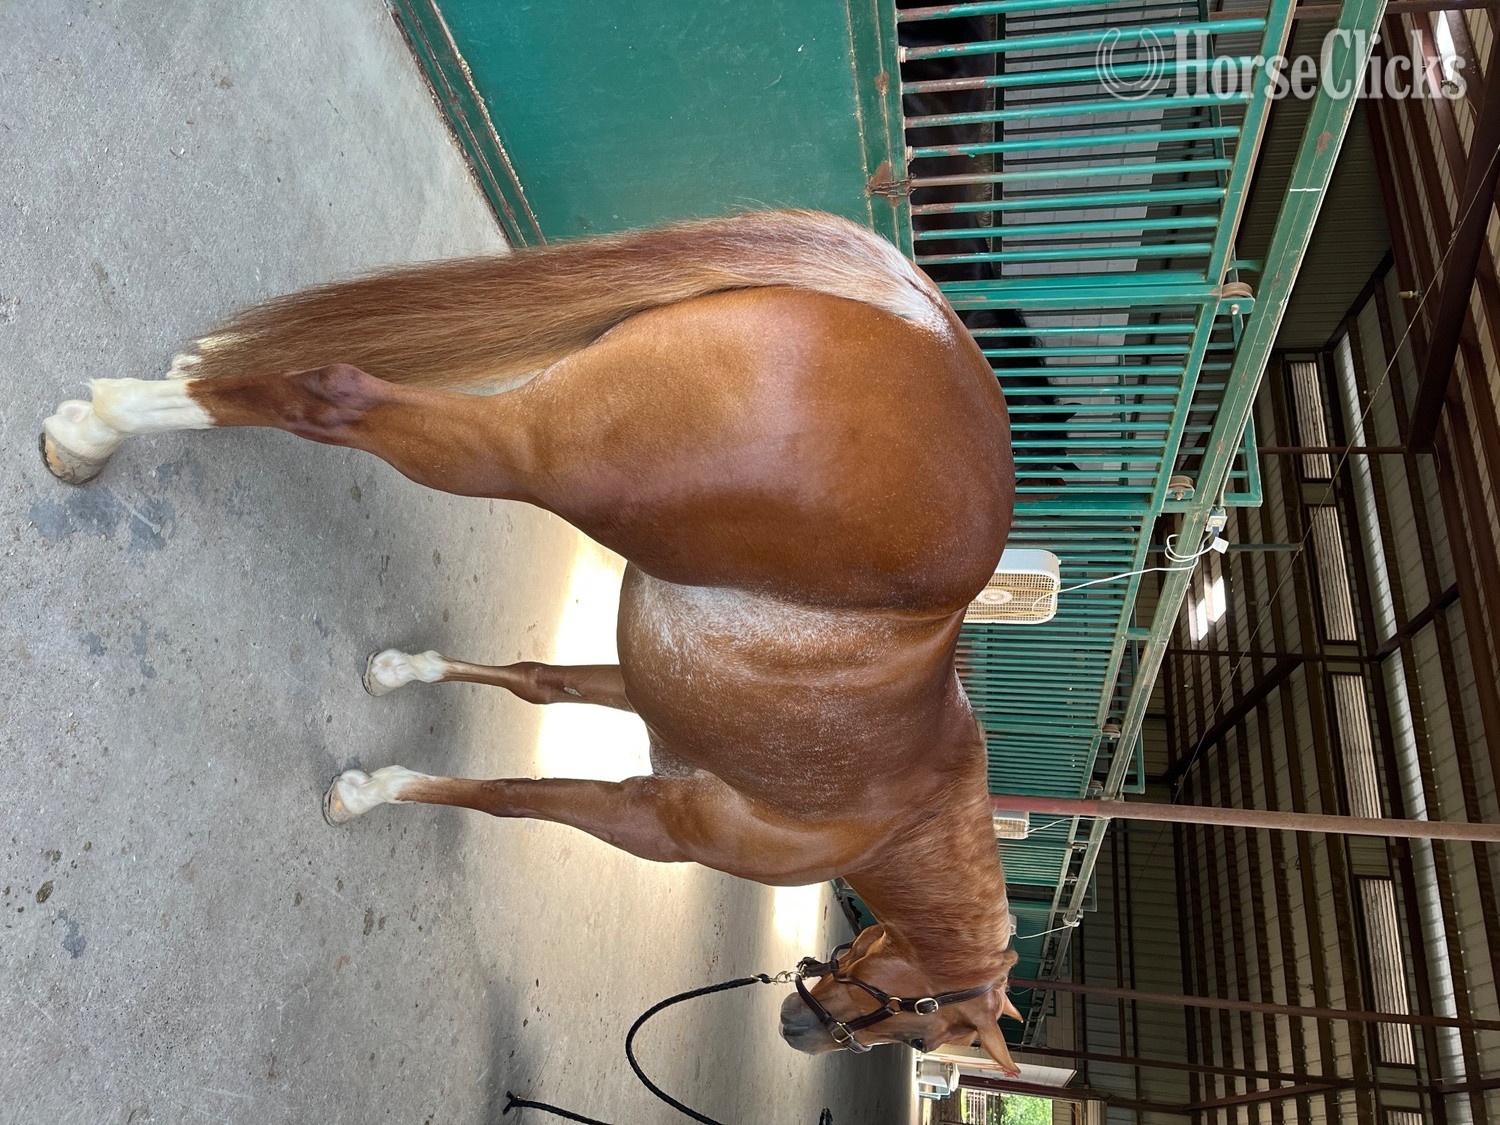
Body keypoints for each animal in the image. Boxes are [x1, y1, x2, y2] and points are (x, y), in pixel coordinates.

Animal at [40, 208, 1025, 1072]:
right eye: (921, 1024)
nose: (797, 1029)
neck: (900, 809)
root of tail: (927, 320)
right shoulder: (654, 823)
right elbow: (513, 796)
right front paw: (370, 791)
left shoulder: (638, 685)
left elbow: (535, 678)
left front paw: (400, 671)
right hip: (530, 454)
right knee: (335, 396)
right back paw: (93, 431)